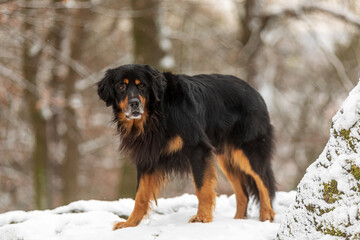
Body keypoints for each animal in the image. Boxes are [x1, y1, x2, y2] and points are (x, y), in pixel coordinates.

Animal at [96, 63, 276, 229]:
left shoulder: (197, 149)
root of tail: (255, 92)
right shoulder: (147, 157)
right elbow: (140, 194)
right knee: (243, 194)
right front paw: (130, 223)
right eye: (121, 87)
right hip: (227, 158)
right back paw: (238, 221)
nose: (134, 104)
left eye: (142, 86)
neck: (157, 113)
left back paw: (267, 215)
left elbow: (202, 187)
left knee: (263, 182)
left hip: (248, 151)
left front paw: (202, 218)